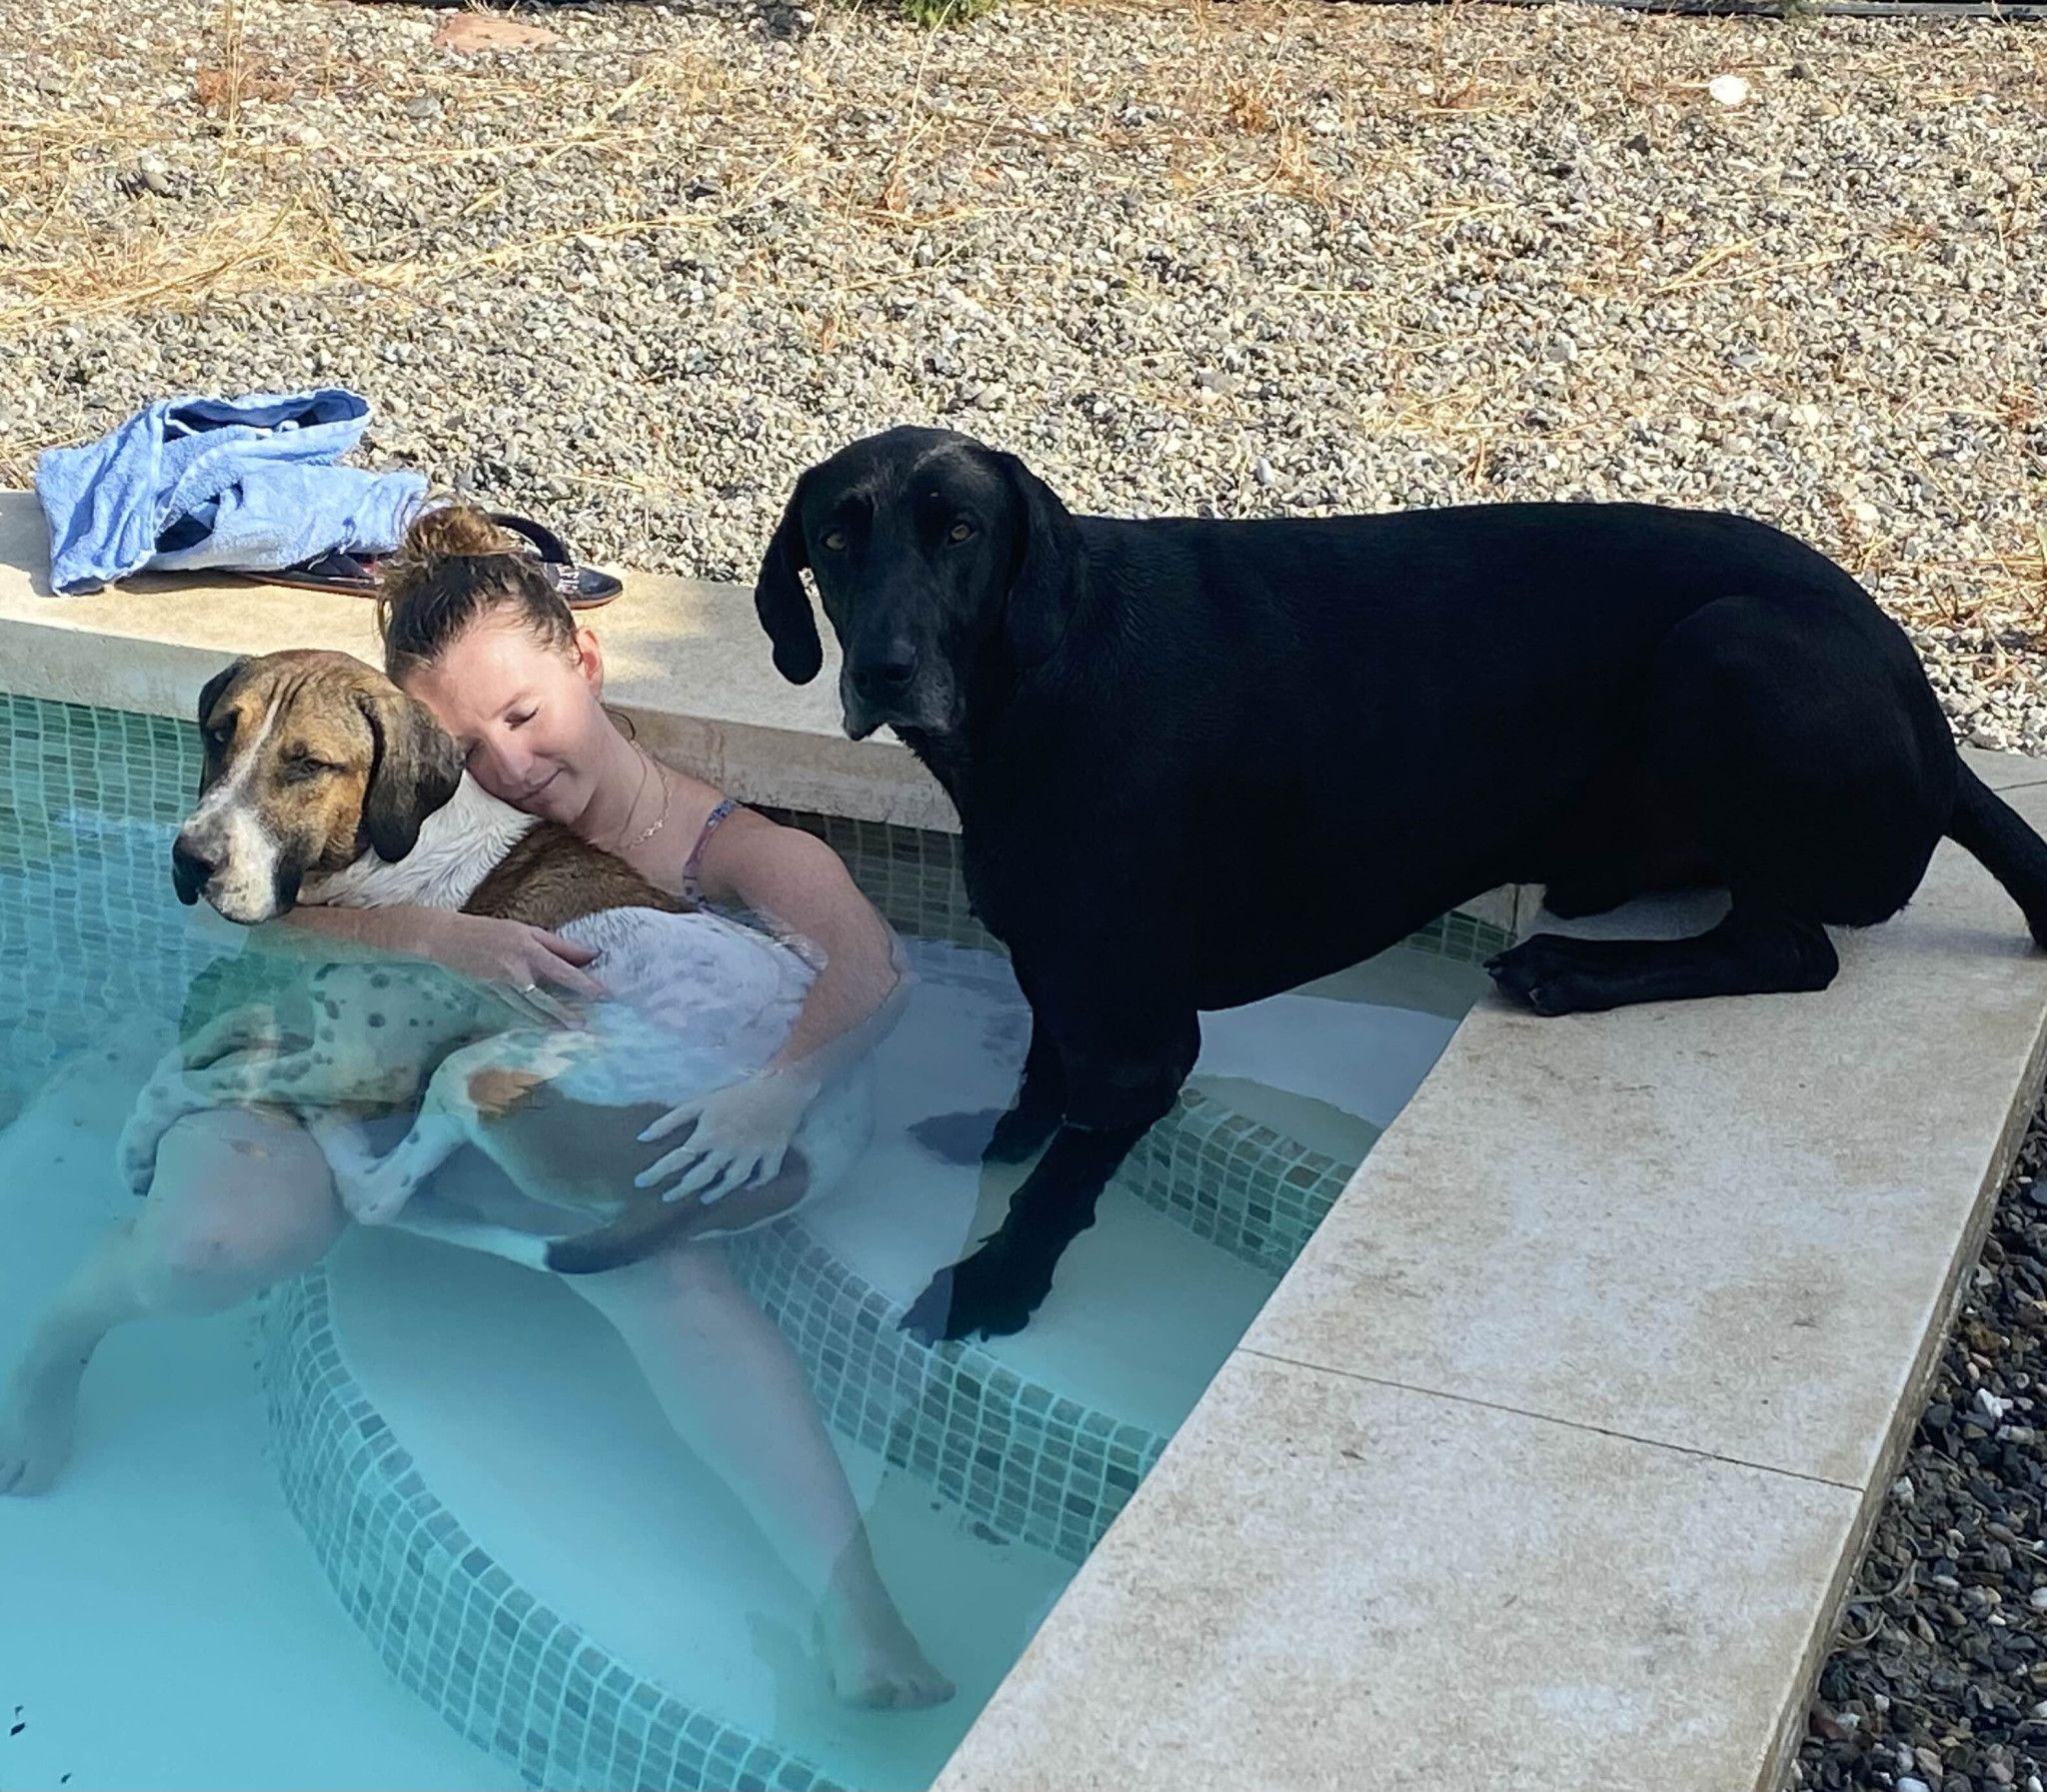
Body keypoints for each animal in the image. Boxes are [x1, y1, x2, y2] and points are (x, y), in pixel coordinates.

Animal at [120, 649, 870, 1272]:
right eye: (220, 733)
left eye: (308, 763)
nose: (189, 857)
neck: (396, 858)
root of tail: (815, 1157)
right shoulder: (303, 1013)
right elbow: (195, 1048)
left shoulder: (355, 1060)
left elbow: (191, 1081)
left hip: (497, 1070)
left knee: (380, 1193)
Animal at [754, 424, 2047, 1344]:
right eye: (835, 538)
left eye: (958, 532)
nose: (881, 669)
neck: (1037, 686)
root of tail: (1924, 711)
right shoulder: (1050, 959)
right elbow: (1038, 1068)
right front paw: (1002, 1132)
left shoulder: (1142, 1042)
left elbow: (1067, 1172)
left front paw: (993, 1283)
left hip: (1727, 648)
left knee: (1792, 947)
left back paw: (1570, 971)